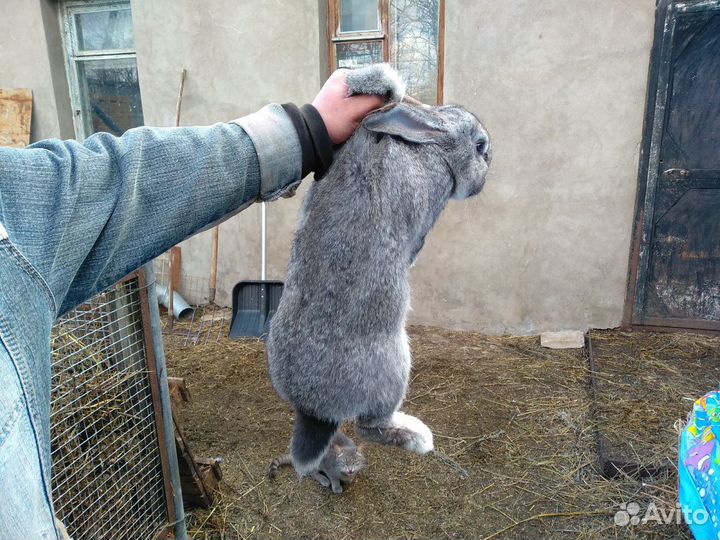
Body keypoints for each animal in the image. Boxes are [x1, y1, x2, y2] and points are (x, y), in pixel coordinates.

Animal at [266, 64, 491, 476]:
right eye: (480, 146)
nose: (485, 175)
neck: (434, 148)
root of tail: (314, 409)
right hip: (394, 366)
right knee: (370, 426)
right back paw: (418, 438)